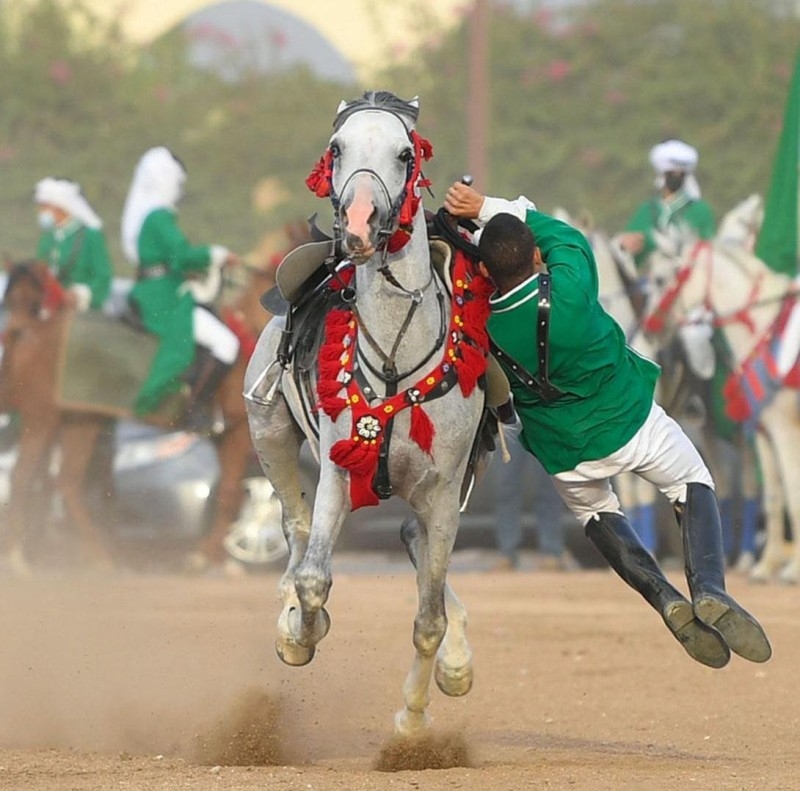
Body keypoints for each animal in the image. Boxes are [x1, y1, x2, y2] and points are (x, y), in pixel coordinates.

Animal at [244, 93, 494, 736]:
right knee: (295, 526)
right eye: (337, 149)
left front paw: (412, 717)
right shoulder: (337, 468)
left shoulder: (444, 490)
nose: (358, 226)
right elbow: (314, 579)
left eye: (405, 154)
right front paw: (299, 634)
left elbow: (428, 616)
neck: (395, 359)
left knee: (418, 545)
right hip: (269, 429)